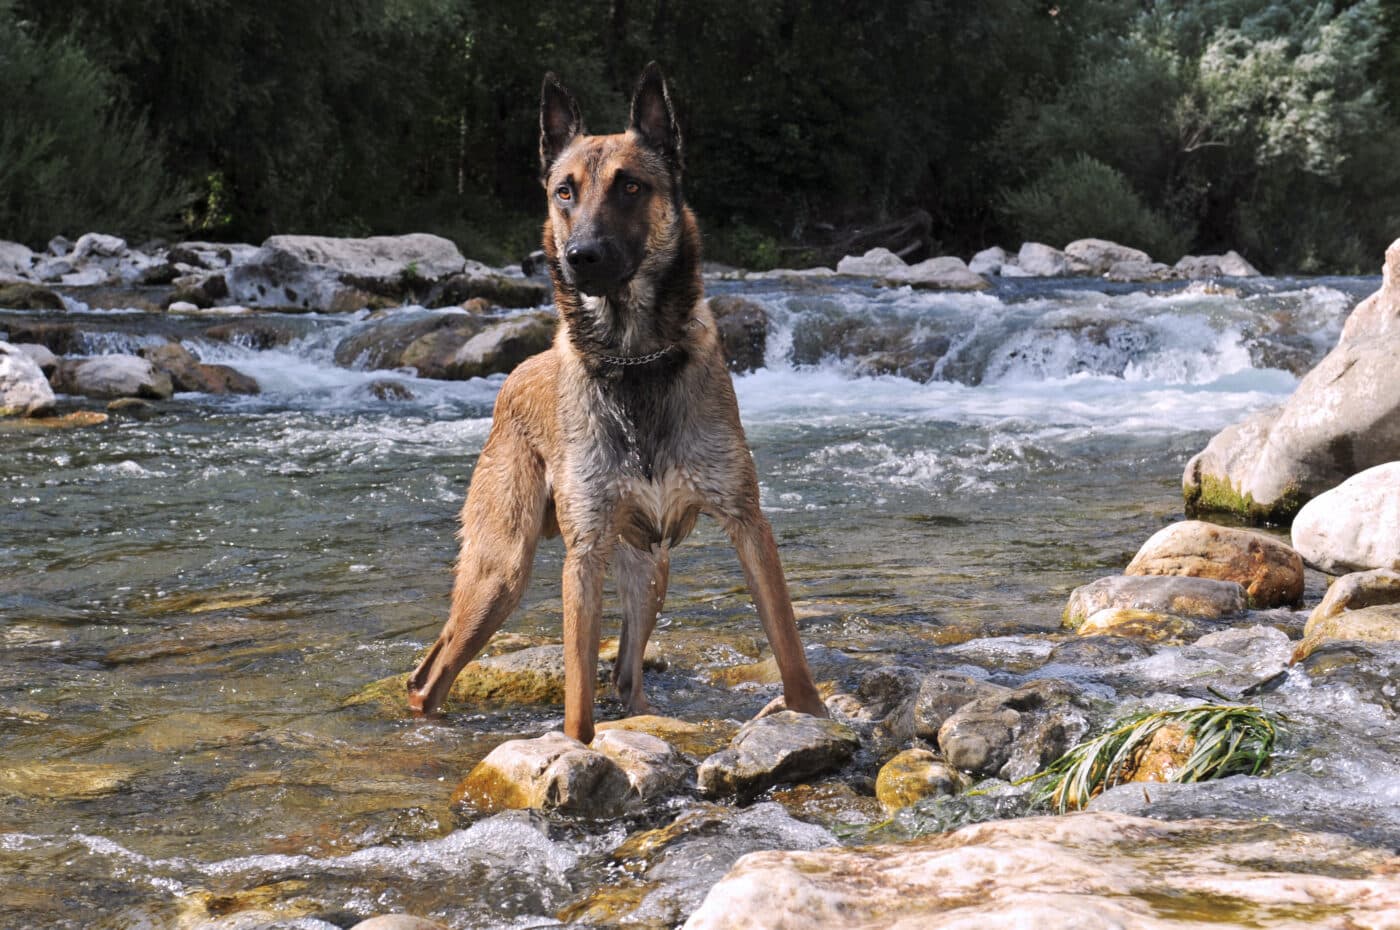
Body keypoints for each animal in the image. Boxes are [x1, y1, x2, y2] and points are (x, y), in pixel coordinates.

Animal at [406, 59, 823, 739]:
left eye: (630, 187)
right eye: (564, 191)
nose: (582, 257)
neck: (634, 361)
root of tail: (514, 375)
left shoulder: (747, 523)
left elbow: (789, 648)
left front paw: (813, 717)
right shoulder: (585, 554)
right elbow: (578, 697)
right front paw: (577, 752)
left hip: (650, 569)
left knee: (628, 676)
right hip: (502, 571)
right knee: (429, 675)